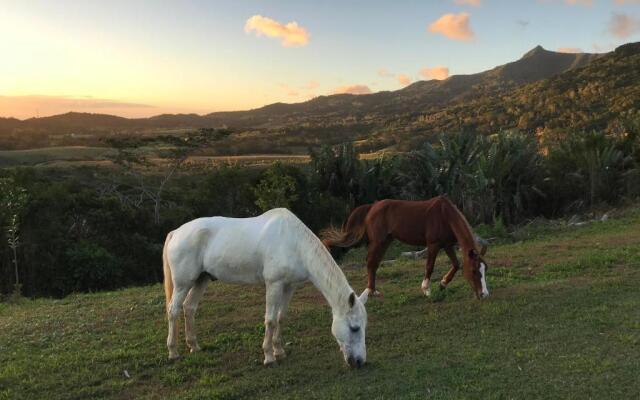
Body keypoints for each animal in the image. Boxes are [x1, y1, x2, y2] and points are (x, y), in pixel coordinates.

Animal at [162, 208, 368, 368]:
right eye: (355, 328)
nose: (359, 362)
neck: (293, 243)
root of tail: (176, 232)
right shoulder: (273, 285)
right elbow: (270, 320)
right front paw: (269, 357)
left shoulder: (289, 287)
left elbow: (281, 318)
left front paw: (279, 351)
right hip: (183, 283)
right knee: (173, 310)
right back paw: (173, 352)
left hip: (201, 279)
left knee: (189, 308)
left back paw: (194, 346)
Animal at [320, 197, 490, 300]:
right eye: (474, 271)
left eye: (484, 269)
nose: (484, 294)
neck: (444, 215)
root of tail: (373, 206)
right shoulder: (433, 245)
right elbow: (429, 266)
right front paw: (426, 289)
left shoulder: (447, 245)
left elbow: (456, 264)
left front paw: (442, 284)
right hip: (378, 241)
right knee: (370, 262)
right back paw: (370, 291)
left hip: (386, 241)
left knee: (374, 263)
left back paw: (373, 290)